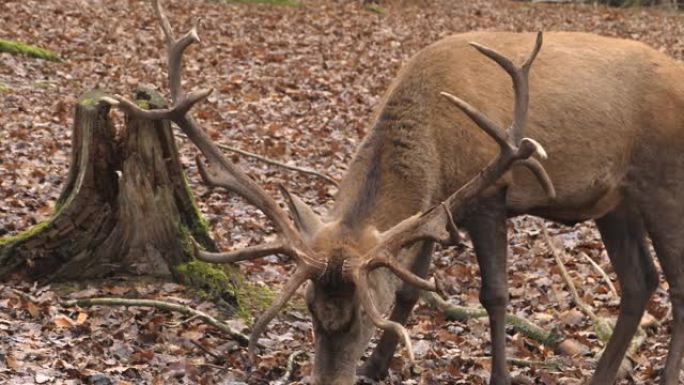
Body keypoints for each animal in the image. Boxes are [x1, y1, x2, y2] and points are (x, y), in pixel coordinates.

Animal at [111, 0, 684, 384]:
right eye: (312, 310)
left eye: (363, 314)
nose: (331, 379)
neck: (435, 144)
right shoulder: (435, 210)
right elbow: (412, 286)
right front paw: (377, 367)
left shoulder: (487, 195)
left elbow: (494, 294)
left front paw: (498, 374)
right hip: (614, 201)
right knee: (640, 282)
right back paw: (603, 375)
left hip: (664, 182)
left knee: (674, 283)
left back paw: (665, 375)